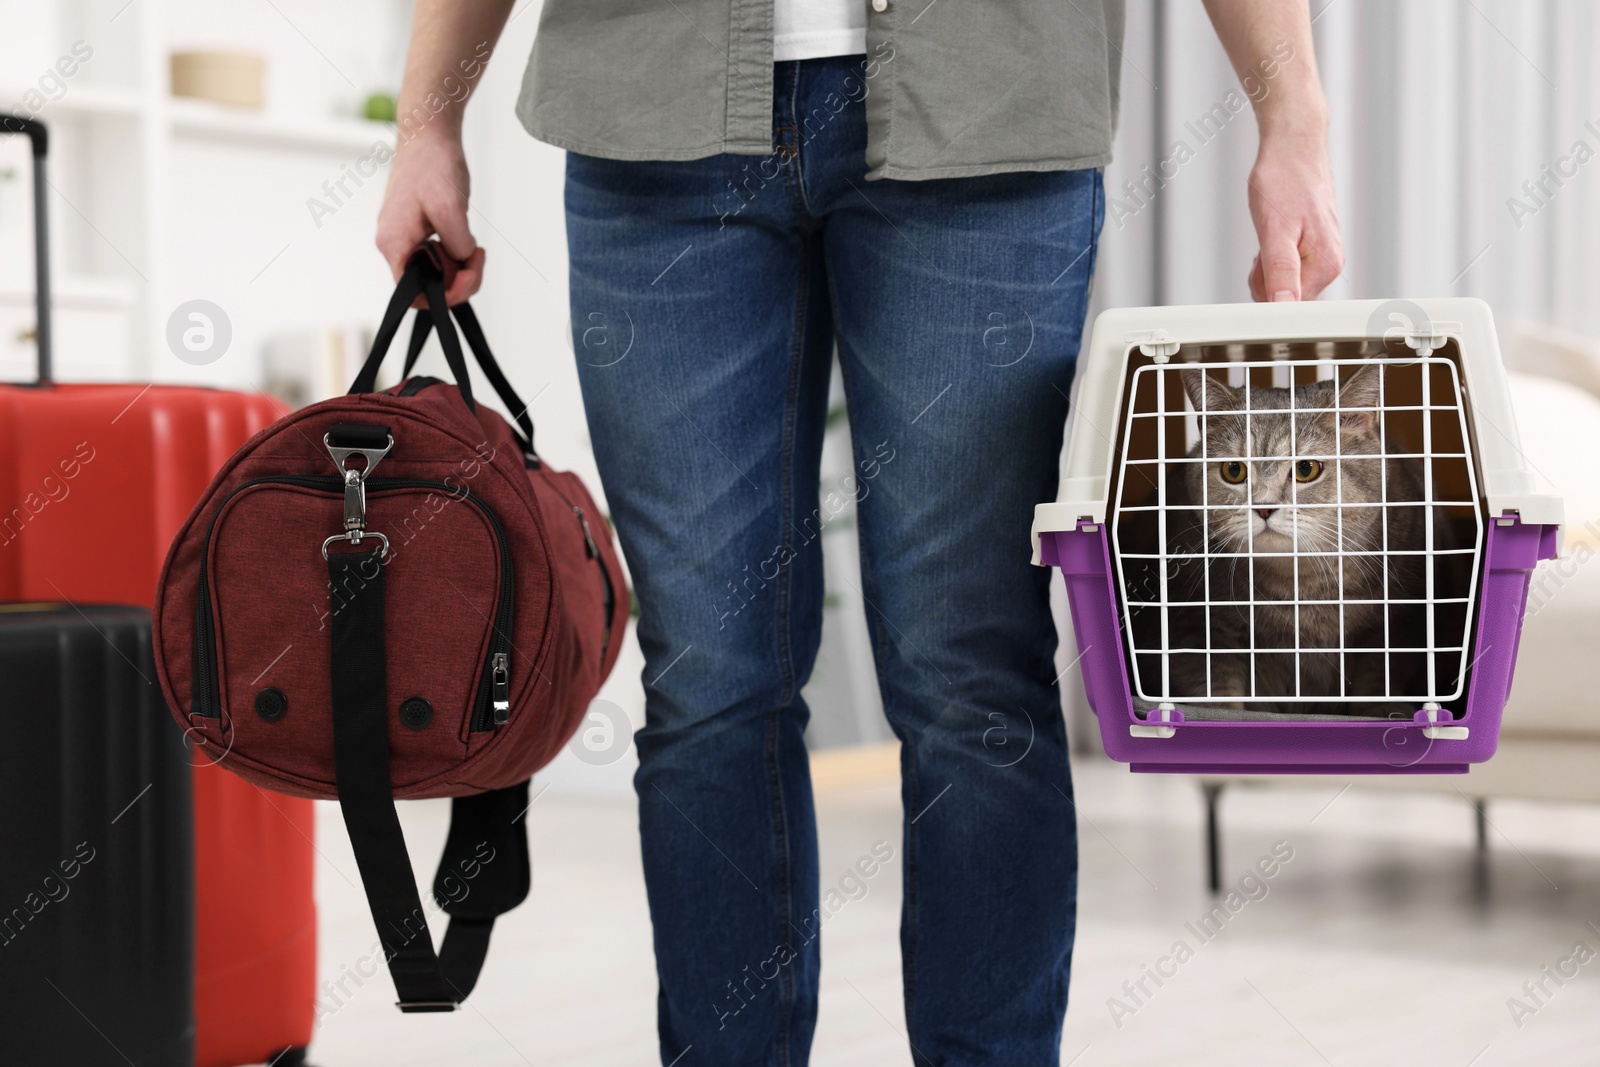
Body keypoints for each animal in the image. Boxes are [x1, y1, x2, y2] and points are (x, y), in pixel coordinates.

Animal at [1145, 364, 1433, 716]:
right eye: (1233, 470)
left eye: (1306, 469)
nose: (1264, 506)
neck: (1301, 587)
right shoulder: (1199, 632)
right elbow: (1221, 700)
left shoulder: (1393, 630)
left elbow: (1375, 686)